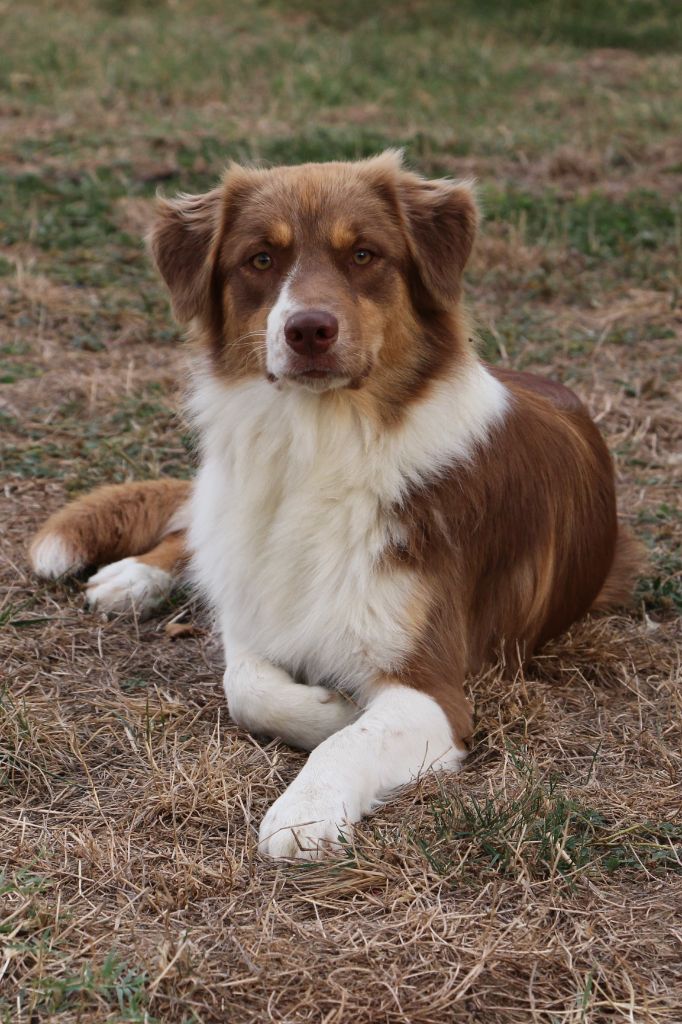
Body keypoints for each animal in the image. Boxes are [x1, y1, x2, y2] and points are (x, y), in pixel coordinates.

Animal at [30, 149, 638, 856]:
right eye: (261, 259)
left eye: (365, 255)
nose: (309, 329)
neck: (320, 446)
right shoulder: (257, 607)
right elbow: (245, 684)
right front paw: (331, 707)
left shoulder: (434, 688)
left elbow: (350, 739)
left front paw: (306, 808)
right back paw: (133, 577)